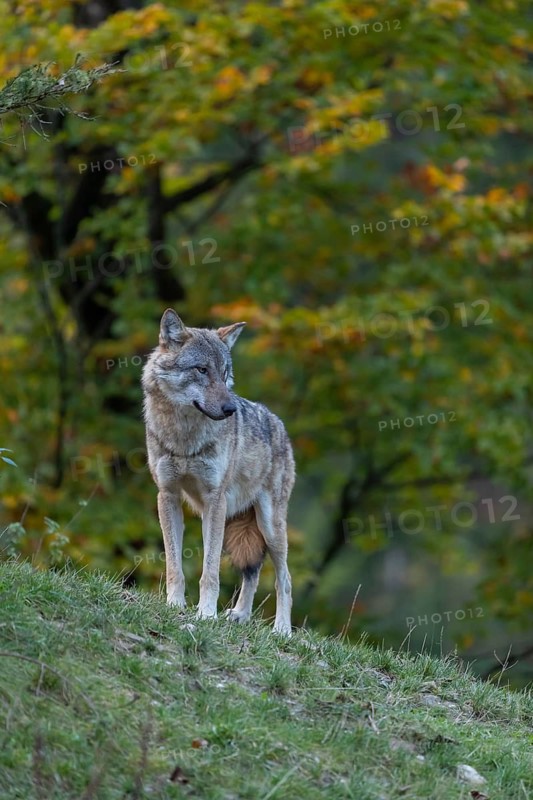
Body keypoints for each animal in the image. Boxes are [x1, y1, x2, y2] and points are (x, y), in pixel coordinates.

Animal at [141, 309, 295, 634]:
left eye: (225, 374)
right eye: (202, 370)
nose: (230, 409)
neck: (184, 437)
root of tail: (280, 425)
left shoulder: (215, 498)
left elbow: (210, 571)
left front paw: (206, 613)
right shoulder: (168, 495)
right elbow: (174, 564)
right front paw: (174, 604)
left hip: (268, 525)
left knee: (284, 579)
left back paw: (282, 630)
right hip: (229, 520)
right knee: (253, 572)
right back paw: (240, 615)